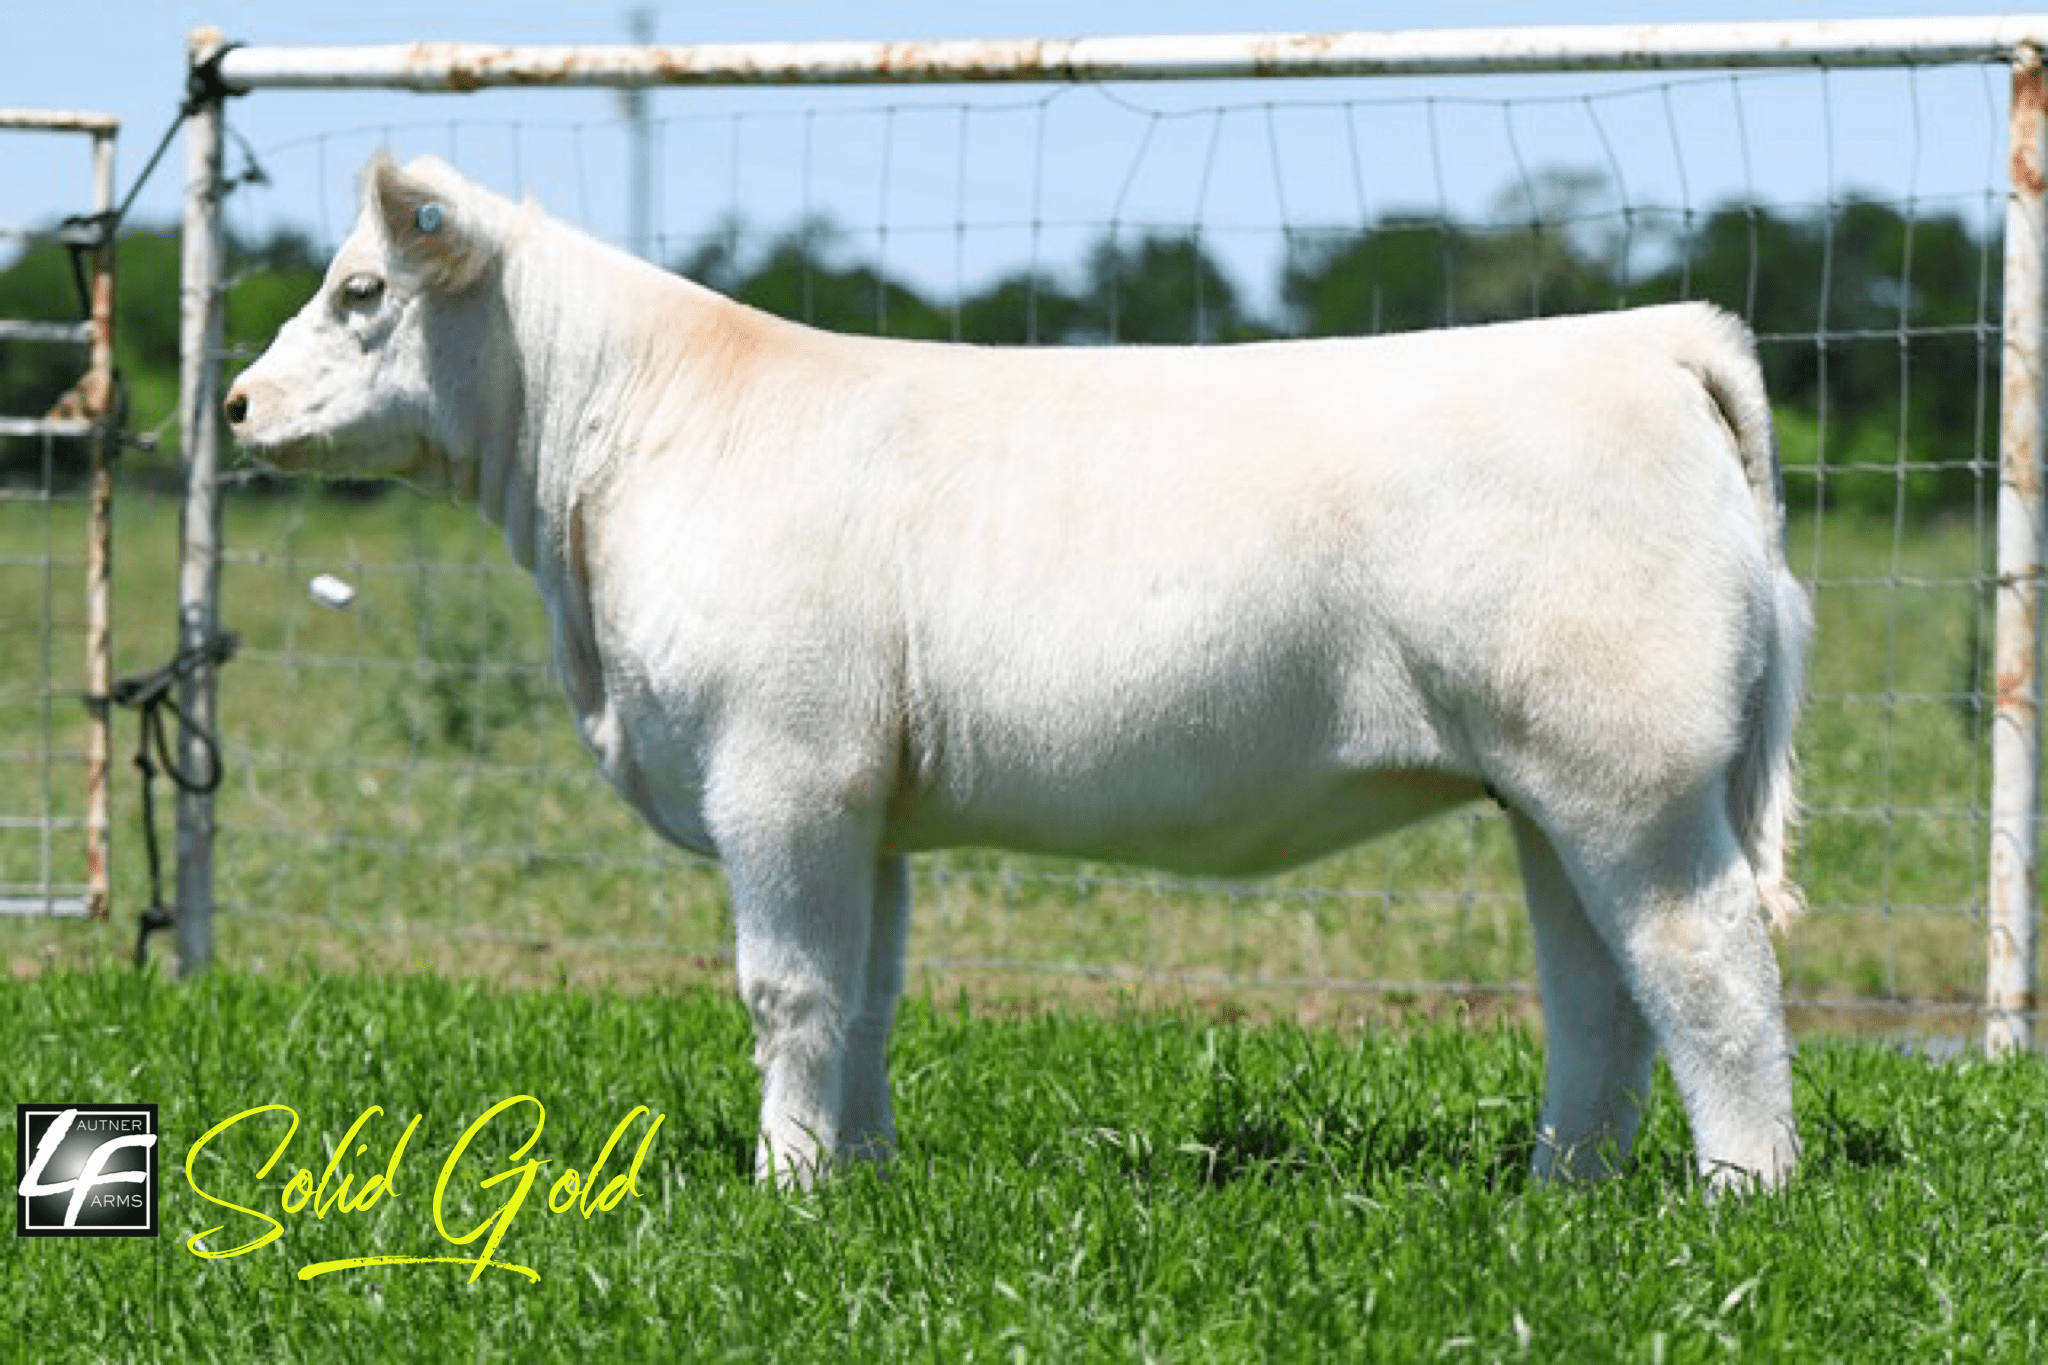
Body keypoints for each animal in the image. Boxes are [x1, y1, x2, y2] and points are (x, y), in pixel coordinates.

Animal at [226, 154, 1812, 1192]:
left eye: (359, 289)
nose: (236, 401)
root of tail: (1644, 341)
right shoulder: (860, 797)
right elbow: (863, 996)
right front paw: (859, 1182)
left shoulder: (777, 770)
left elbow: (787, 991)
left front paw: (783, 1188)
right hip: (1543, 788)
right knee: (1598, 993)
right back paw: (1560, 1195)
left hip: (1631, 779)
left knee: (1706, 967)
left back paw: (1743, 1195)